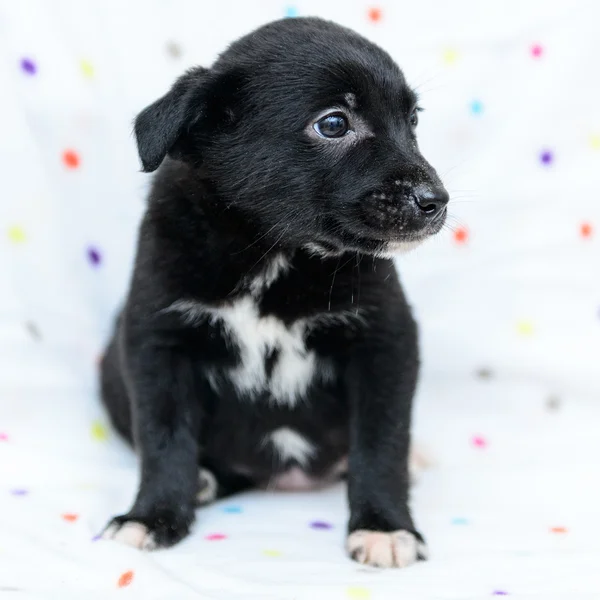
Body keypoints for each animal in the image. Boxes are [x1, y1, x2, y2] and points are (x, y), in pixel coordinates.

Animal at [99, 17, 446, 568]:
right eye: (334, 124)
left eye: (412, 121)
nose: (437, 200)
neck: (276, 253)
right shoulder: (157, 341)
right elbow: (162, 438)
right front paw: (152, 517)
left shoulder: (384, 340)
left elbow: (381, 442)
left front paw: (385, 527)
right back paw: (202, 481)